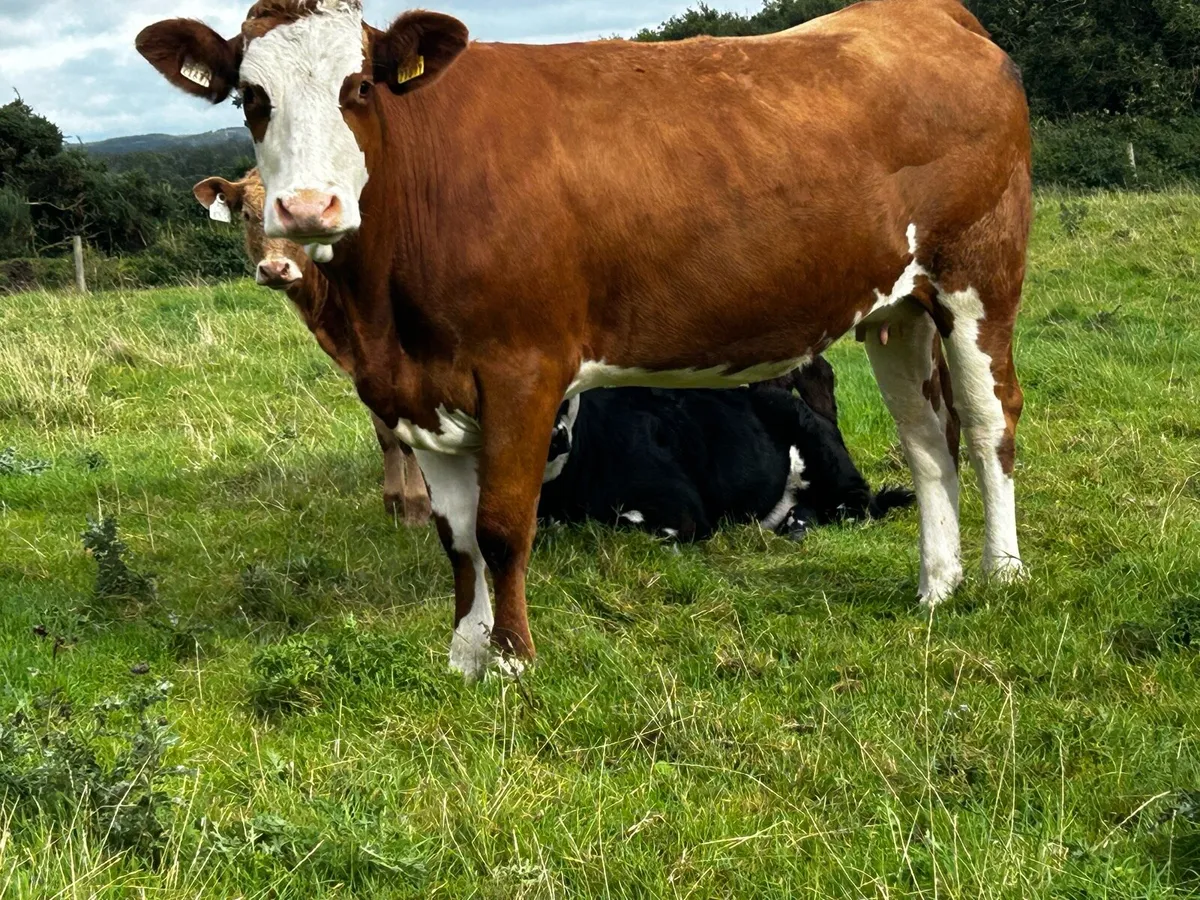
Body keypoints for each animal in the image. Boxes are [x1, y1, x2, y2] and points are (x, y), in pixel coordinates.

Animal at [540, 378, 916, 542]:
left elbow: (620, 523)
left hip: (822, 451)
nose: (555, 437)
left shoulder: (679, 508)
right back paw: (795, 523)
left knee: (861, 501)